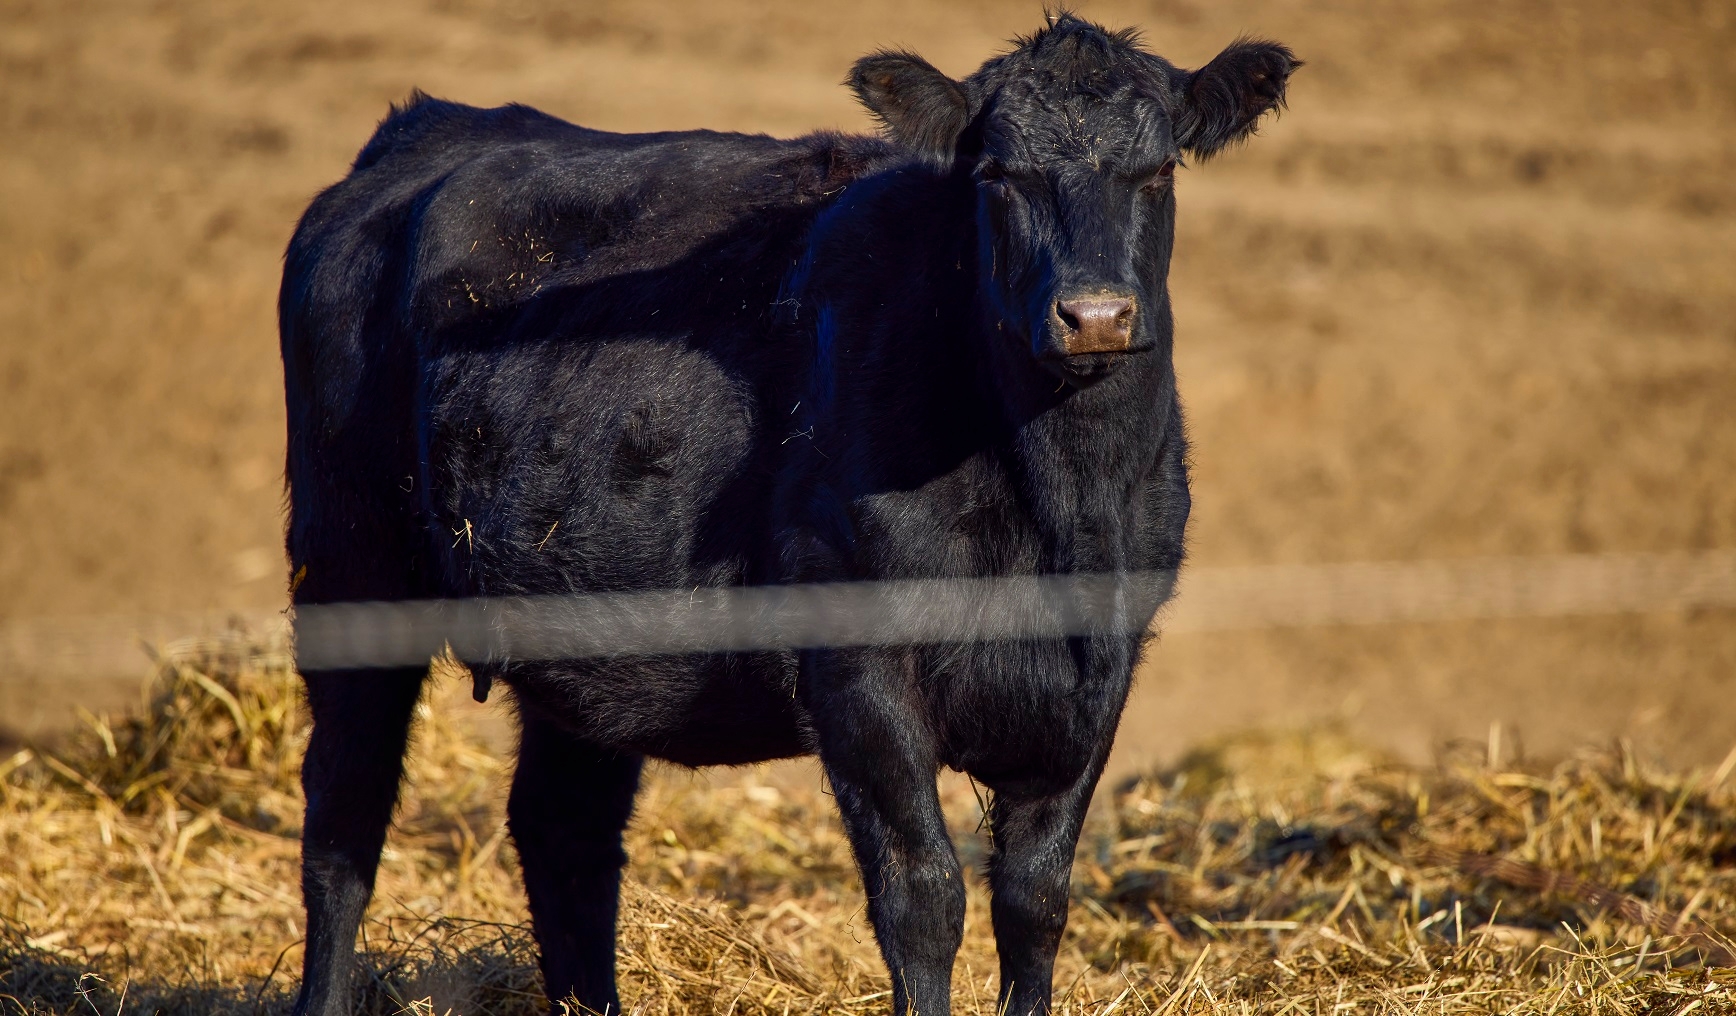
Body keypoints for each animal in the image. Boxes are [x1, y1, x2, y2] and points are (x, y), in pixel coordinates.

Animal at [279, 14, 1296, 1016]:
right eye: (998, 175)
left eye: (1158, 171)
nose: (1093, 316)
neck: (1057, 514)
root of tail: (428, 128)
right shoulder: (857, 661)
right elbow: (922, 895)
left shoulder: (1101, 669)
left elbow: (1035, 900)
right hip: (350, 568)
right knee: (343, 817)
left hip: (575, 621)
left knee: (564, 829)